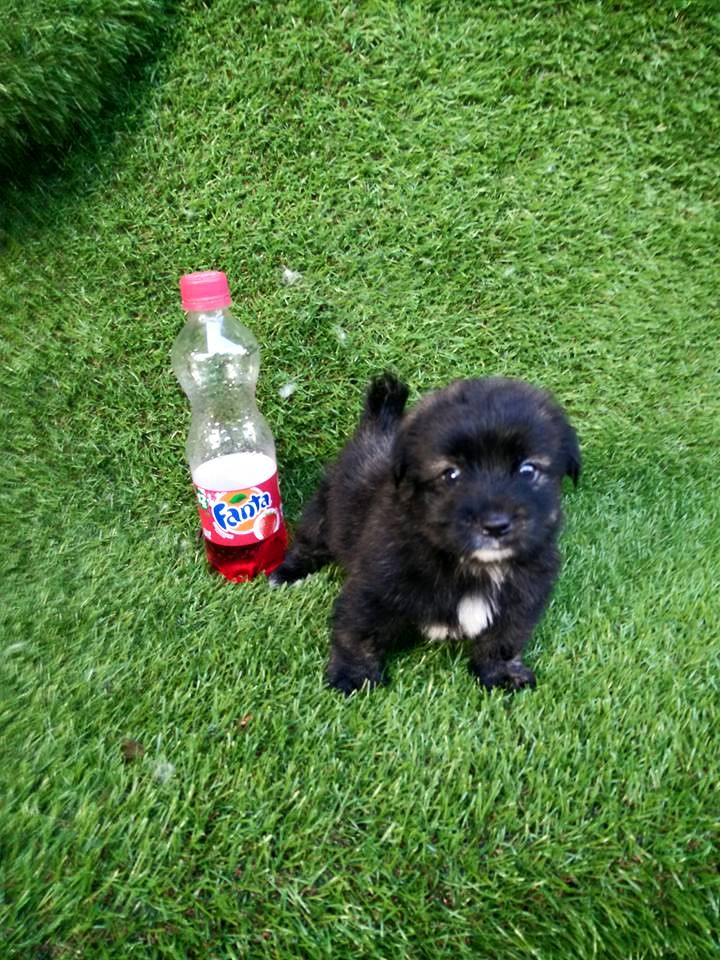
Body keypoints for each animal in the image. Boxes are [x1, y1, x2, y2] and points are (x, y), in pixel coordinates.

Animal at [270, 373, 580, 695]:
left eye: (528, 470)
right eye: (451, 474)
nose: (495, 524)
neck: (470, 564)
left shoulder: (522, 595)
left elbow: (504, 638)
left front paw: (502, 672)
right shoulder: (375, 585)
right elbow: (357, 629)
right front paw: (354, 674)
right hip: (324, 512)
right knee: (309, 542)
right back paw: (287, 573)